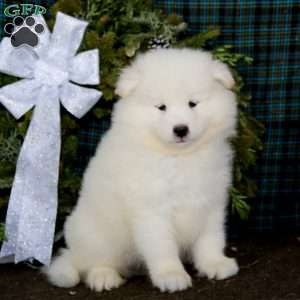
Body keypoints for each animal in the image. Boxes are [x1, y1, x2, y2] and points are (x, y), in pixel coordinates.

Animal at [45, 48, 239, 292]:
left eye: (193, 103)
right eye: (161, 107)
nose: (180, 129)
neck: (178, 158)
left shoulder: (211, 202)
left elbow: (211, 238)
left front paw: (215, 263)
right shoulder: (151, 210)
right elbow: (162, 247)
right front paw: (171, 275)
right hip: (95, 233)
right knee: (92, 262)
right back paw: (103, 276)